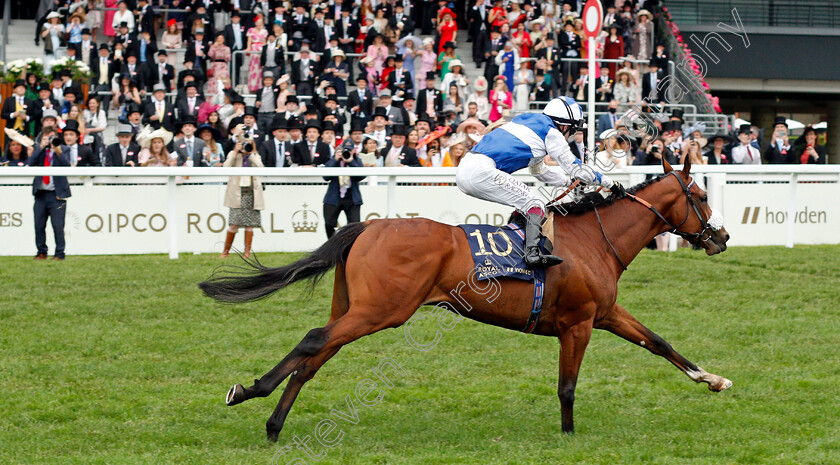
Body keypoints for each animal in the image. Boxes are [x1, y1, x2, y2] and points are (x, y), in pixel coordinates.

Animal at [202, 156, 728, 438]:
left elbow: (658, 341)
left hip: (354, 307)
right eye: (701, 195)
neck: (594, 239)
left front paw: (713, 379)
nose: (721, 237)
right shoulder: (578, 323)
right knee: (313, 340)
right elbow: (567, 386)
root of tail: (368, 225)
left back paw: (272, 424)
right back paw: (249, 391)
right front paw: (568, 434)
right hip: (382, 310)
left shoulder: (605, 313)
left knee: (312, 359)